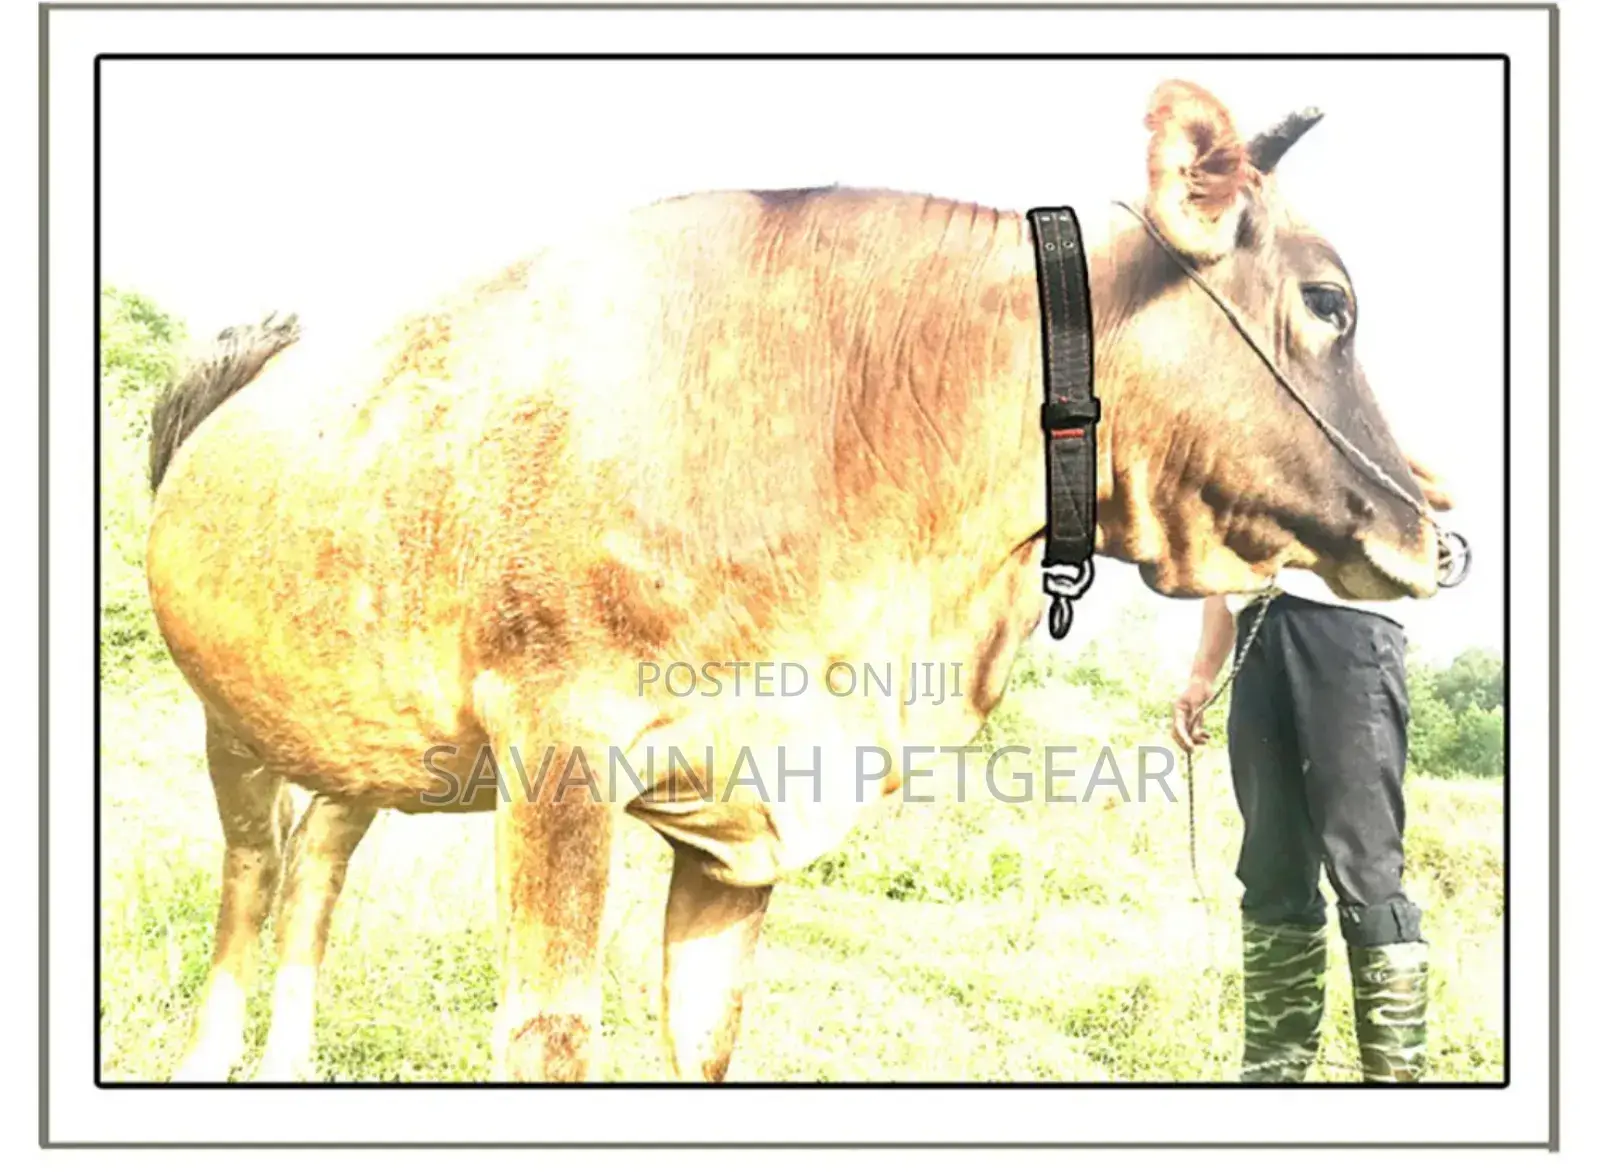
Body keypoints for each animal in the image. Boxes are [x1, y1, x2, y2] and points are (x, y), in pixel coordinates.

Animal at [143, 79, 1447, 1083]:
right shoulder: (558, 751)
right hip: (227, 718)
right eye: (1328, 300)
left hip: (355, 727)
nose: (1432, 526)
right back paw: (211, 1062)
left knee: (318, 859)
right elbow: (551, 1035)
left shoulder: (747, 819)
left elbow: (705, 1038)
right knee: (251, 873)